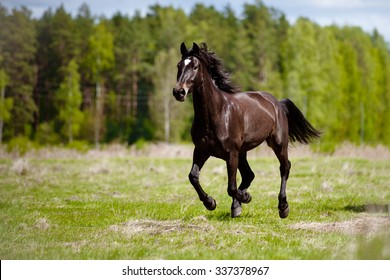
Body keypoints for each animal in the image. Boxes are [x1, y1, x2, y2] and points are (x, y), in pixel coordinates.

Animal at [173, 42, 320, 219]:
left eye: (195, 66)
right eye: (178, 65)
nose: (178, 92)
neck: (218, 113)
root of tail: (278, 102)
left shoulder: (231, 154)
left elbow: (231, 187)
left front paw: (245, 197)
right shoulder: (202, 150)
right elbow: (193, 177)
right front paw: (210, 203)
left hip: (278, 144)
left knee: (284, 168)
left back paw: (283, 207)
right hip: (243, 151)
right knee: (249, 175)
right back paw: (237, 207)